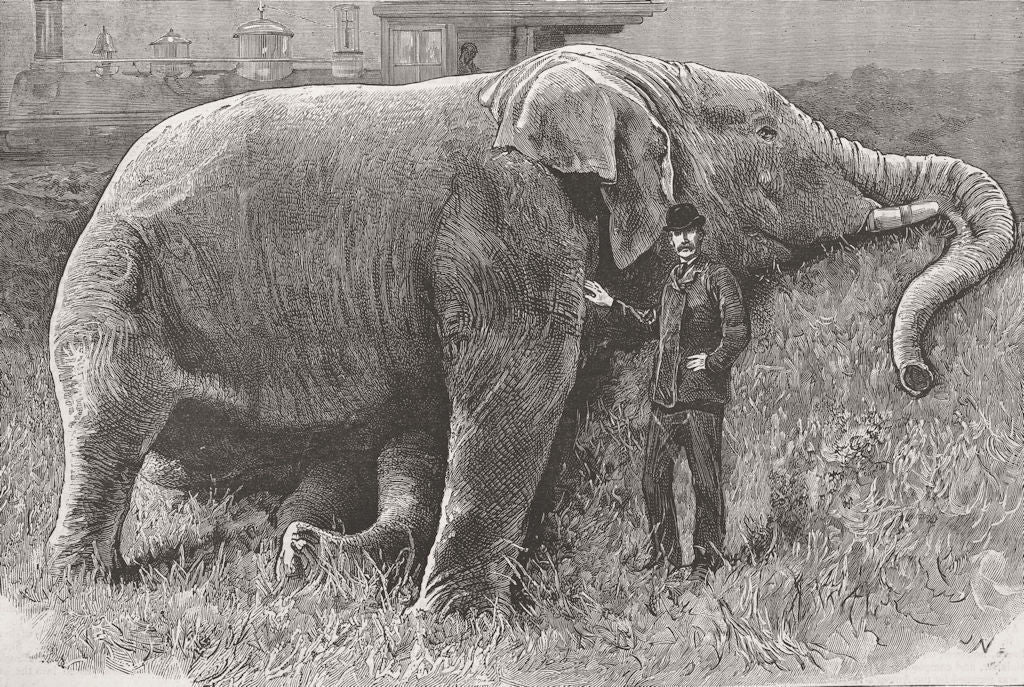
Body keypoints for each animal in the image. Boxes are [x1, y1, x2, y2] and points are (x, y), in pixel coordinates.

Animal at [46, 45, 1016, 616]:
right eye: (770, 132)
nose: (919, 375)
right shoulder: (500, 226)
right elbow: (521, 393)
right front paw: (449, 632)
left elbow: (454, 418)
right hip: (110, 295)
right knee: (107, 436)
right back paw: (83, 585)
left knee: (376, 448)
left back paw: (304, 554)